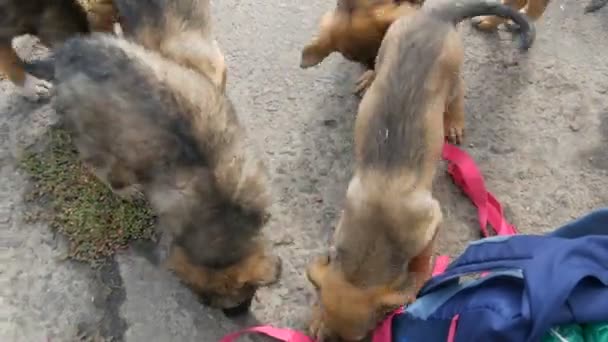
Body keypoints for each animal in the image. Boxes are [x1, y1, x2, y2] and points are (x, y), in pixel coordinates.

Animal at [52, 0, 280, 316]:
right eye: (208, 302)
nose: (235, 316)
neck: (221, 217)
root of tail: (64, 55)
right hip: (93, 138)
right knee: (101, 166)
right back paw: (125, 189)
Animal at [306, 1, 536, 340]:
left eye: (364, 337)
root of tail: (435, 15)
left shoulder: (430, 220)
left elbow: (422, 259)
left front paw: (419, 275)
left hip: (452, 73)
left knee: (457, 95)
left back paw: (454, 122)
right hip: (387, 46)